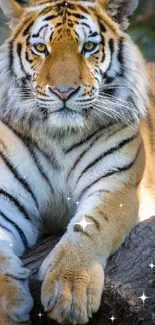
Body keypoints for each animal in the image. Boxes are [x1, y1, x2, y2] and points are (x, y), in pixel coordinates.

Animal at [0, 0, 154, 322]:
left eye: (89, 46)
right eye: (41, 48)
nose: (64, 92)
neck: (60, 135)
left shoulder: (116, 184)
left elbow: (91, 225)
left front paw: (70, 289)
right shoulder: (7, 198)